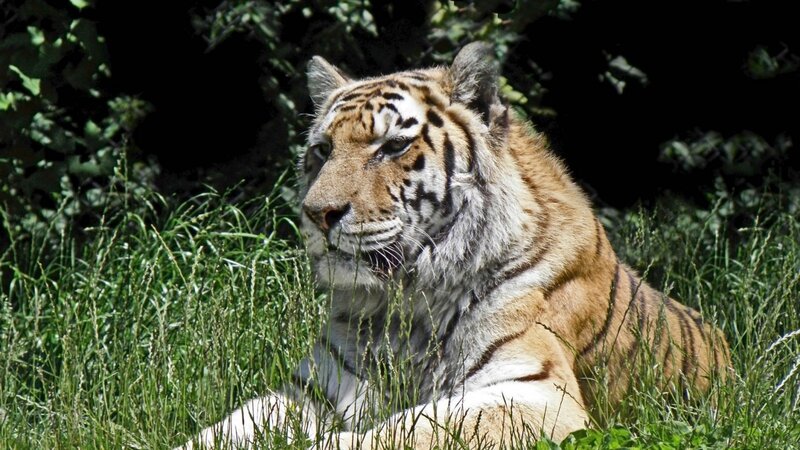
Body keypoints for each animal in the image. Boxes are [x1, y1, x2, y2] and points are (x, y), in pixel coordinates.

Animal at [180, 42, 732, 449]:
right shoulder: (316, 389)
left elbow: (407, 430)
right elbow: (226, 429)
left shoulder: (534, 391)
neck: (402, 305)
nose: (317, 214)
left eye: (393, 147)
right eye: (322, 149)